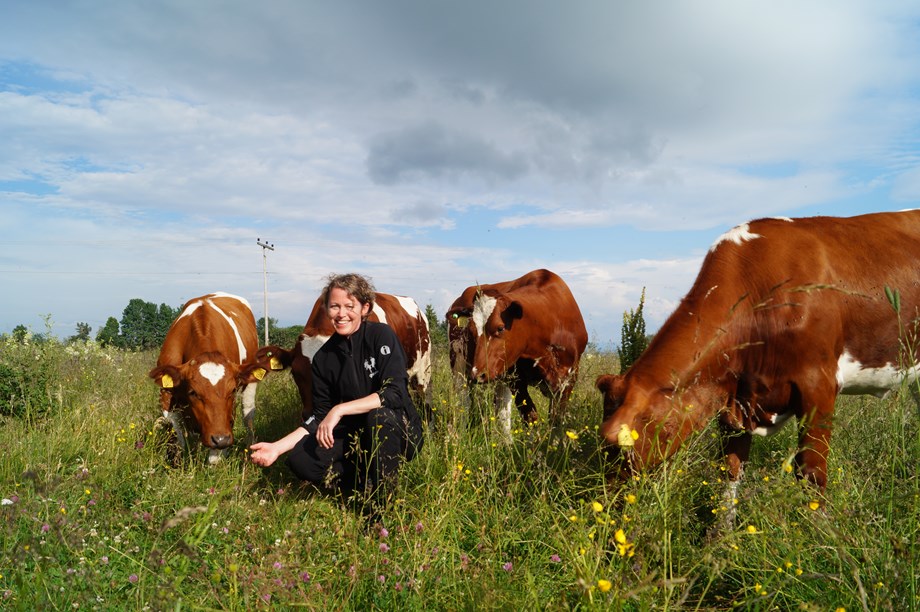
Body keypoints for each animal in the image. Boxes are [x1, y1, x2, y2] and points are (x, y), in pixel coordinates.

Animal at [147, 294, 282, 462]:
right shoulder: (167, 394)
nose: (221, 439)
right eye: (193, 392)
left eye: (232, 390)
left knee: (247, 415)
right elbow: (178, 437)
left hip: (249, 385)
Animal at [448, 268, 588, 436]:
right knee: (463, 402)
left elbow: (556, 420)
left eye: (500, 328)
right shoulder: (516, 378)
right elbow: (530, 416)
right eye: (470, 331)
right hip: (459, 365)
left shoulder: (569, 379)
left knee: (501, 409)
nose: (478, 374)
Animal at [596, 212, 920, 502]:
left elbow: (812, 475)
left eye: (618, 448)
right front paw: (719, 533)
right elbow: (729, 473)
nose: (606, 502)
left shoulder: (819, 386)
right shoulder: (734, 397)